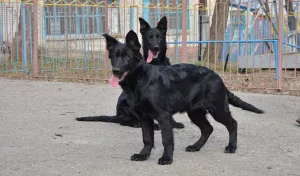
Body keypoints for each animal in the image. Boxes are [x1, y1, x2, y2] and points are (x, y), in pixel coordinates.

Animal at [102, 29, 264, 165]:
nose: (116, 70)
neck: (140, 80)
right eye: (114, 57)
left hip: (218, 110)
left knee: (232, 124)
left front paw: (166, 158)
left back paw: (231, 147)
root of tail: (217, 76)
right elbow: (147, 139)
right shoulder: (144, 118)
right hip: (195, 112)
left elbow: (167, 140)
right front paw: (143, 155)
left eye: (127, 57)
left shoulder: (163, 116)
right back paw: (196, 146)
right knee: (208, 129)